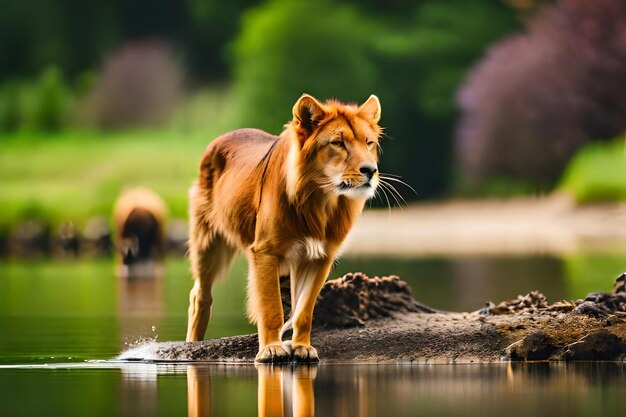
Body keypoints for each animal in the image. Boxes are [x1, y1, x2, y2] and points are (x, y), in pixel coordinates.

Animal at [184, 93, 380, 360]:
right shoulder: (265, 252)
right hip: (208, 245)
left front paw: (302, 347)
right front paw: (271, 349)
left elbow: (304, 310)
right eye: (338, 143)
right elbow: (271, 307)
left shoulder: (318, 257)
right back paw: (192, 344)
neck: (321, 201)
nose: (370, 170)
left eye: (368, 142)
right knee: (200, 296)